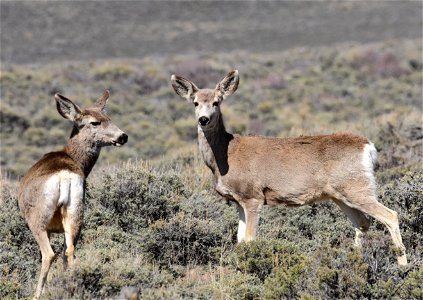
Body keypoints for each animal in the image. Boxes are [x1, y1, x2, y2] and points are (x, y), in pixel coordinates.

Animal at [17, 89, 129, 298]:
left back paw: (37, 295)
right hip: (77, 211)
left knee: (49, 253)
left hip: (38, 218)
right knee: (69, 250)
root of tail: (64, 176)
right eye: (96, 122)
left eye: (108, 118)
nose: (123, 136)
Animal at [171, 69, 410, 264]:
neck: (225, 155)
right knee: (362, 223)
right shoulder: (238, 201)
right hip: (340, 195)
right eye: (195, 102)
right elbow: (239, 240)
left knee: (390, 216)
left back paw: (402, 265)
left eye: (217, 102)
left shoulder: (253, 196)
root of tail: (368, 146)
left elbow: (250, 240)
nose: (203, 119)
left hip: (357, 187)